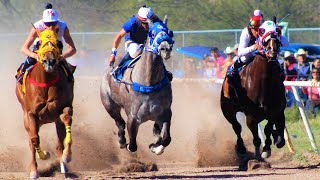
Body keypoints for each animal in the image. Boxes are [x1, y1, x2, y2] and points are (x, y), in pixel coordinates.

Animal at [16, 28, 74, 178]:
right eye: (39, 42)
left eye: (58, 43)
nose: (49, 61)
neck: (46, 82)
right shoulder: (31, 114)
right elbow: (35, 139)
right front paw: (44, 156)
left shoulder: (64, 108)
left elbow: (67, 119)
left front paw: (67, 156)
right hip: (29, 120)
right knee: (31, 141)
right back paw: (34, 169)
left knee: (59, 143)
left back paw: (63, 166)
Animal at [100, 19, 174, 155]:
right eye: (152, 34)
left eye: (169, 32)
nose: (165, 48)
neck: (149, 84)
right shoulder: (133, 118)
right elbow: (133, 145)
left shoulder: (166, 112)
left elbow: (166, 138)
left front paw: (155, 146)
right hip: (109, 104)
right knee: (120, 122)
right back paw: (122, 141)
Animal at [221, 20, 286, 169]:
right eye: (263, 32)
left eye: (277, 31)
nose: (272, 49)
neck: (263, 83)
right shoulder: (250, 116)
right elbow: (256, 138)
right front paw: (257, 159)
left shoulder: (274, 111)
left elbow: (268, 129)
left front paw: (267, 149)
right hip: (227, 110)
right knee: (236, 127)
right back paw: (241, 149)